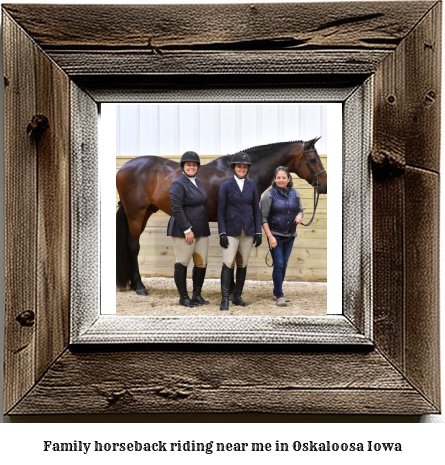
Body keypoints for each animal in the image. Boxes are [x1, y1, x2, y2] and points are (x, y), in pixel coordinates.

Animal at [116, 137, 324, 294]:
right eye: (313, 160)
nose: (324, 185)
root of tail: (124, 168)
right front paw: (231, 289)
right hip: (136, 214)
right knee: (133, 246)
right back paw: (140, 287)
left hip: (145, 213)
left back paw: (134, 285)